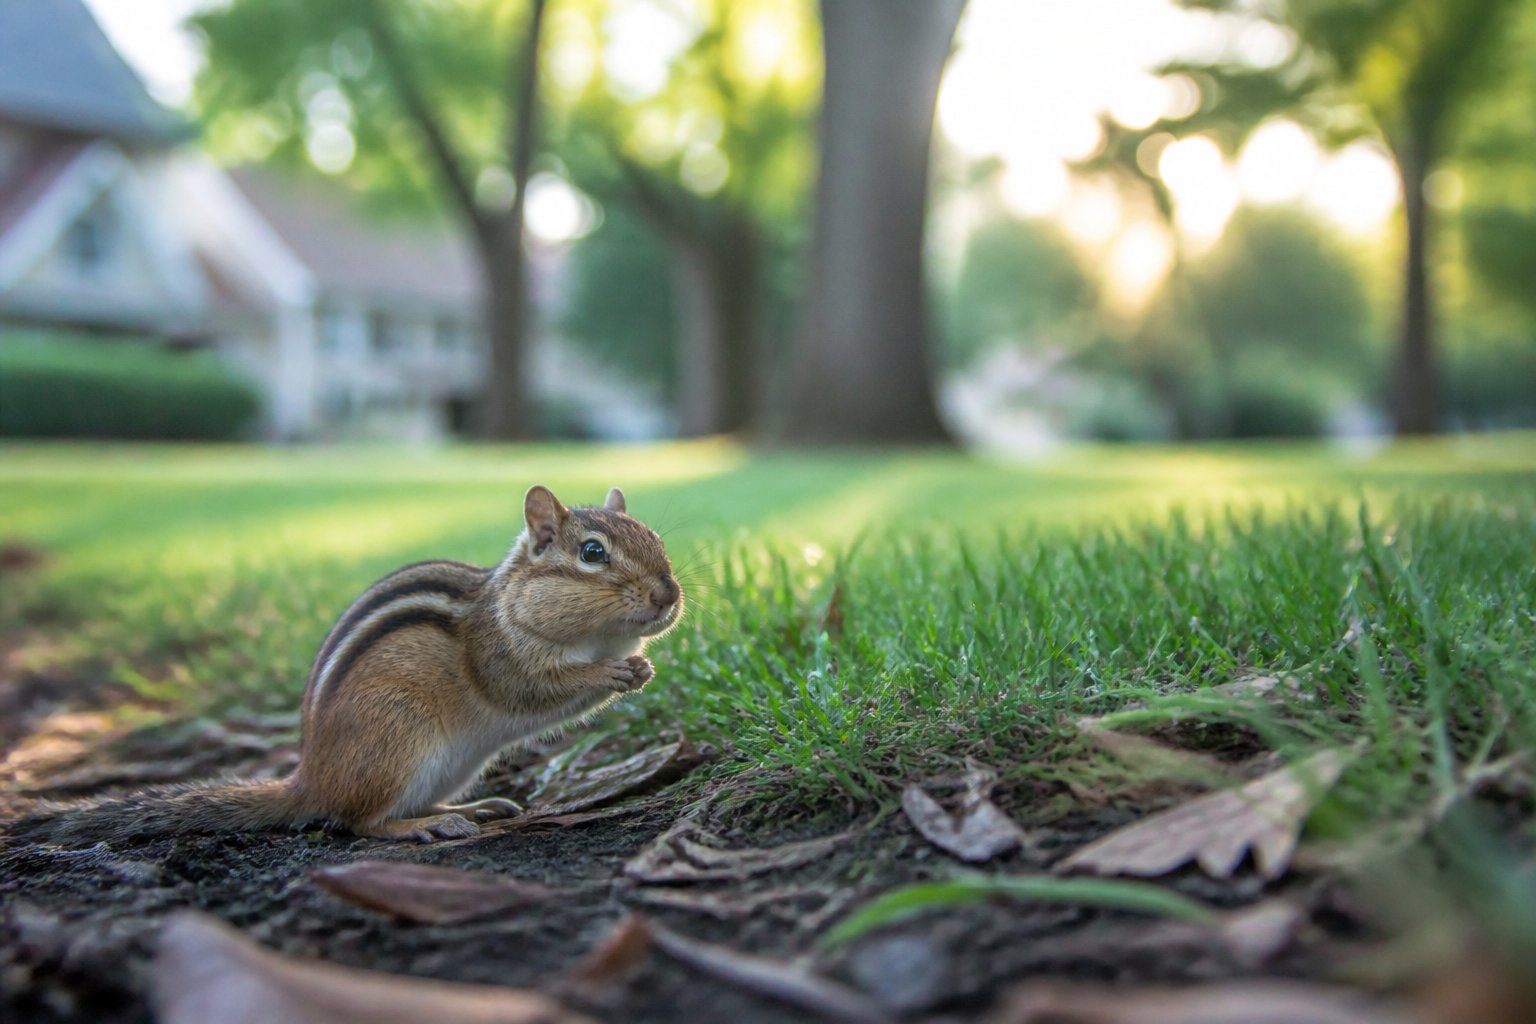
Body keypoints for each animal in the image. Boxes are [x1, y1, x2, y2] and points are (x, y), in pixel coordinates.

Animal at [8, 485, 682, 845]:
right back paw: (417, 829)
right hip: (399, 739)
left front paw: (640, 668)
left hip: (445, 766)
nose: (668, 596)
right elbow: (532, 690)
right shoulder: (500, 655)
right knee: (358, 821)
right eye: (592, 553)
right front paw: (608, 677)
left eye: (657, 539)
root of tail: (310, 778)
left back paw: (466, 811)